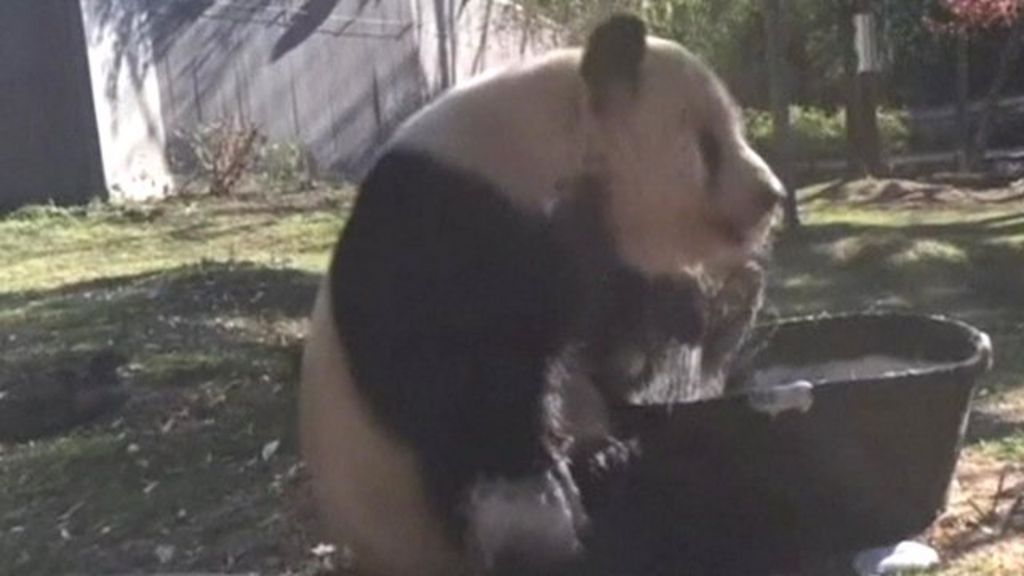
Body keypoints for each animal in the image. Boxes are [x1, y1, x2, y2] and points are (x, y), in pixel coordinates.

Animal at [300, 13, 784, 576]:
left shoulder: (585, 258)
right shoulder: (451, 231)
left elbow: (614, 348)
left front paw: (699, 306)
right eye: (707, 144)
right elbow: (471, 395)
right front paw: (553, 511)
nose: (771, 194)